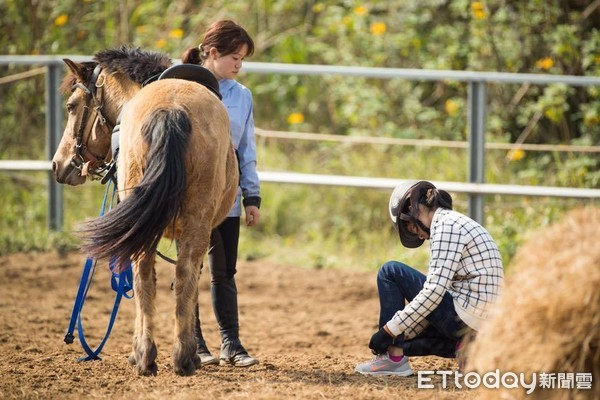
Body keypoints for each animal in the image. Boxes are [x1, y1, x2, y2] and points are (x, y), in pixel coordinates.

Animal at [51, 46, 239, 376]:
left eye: (72, 106)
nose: (58, 164)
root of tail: (171, 109)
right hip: (194, 223)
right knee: (176, 275)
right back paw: (174, 356)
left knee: (148, 277)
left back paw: (151, 355)